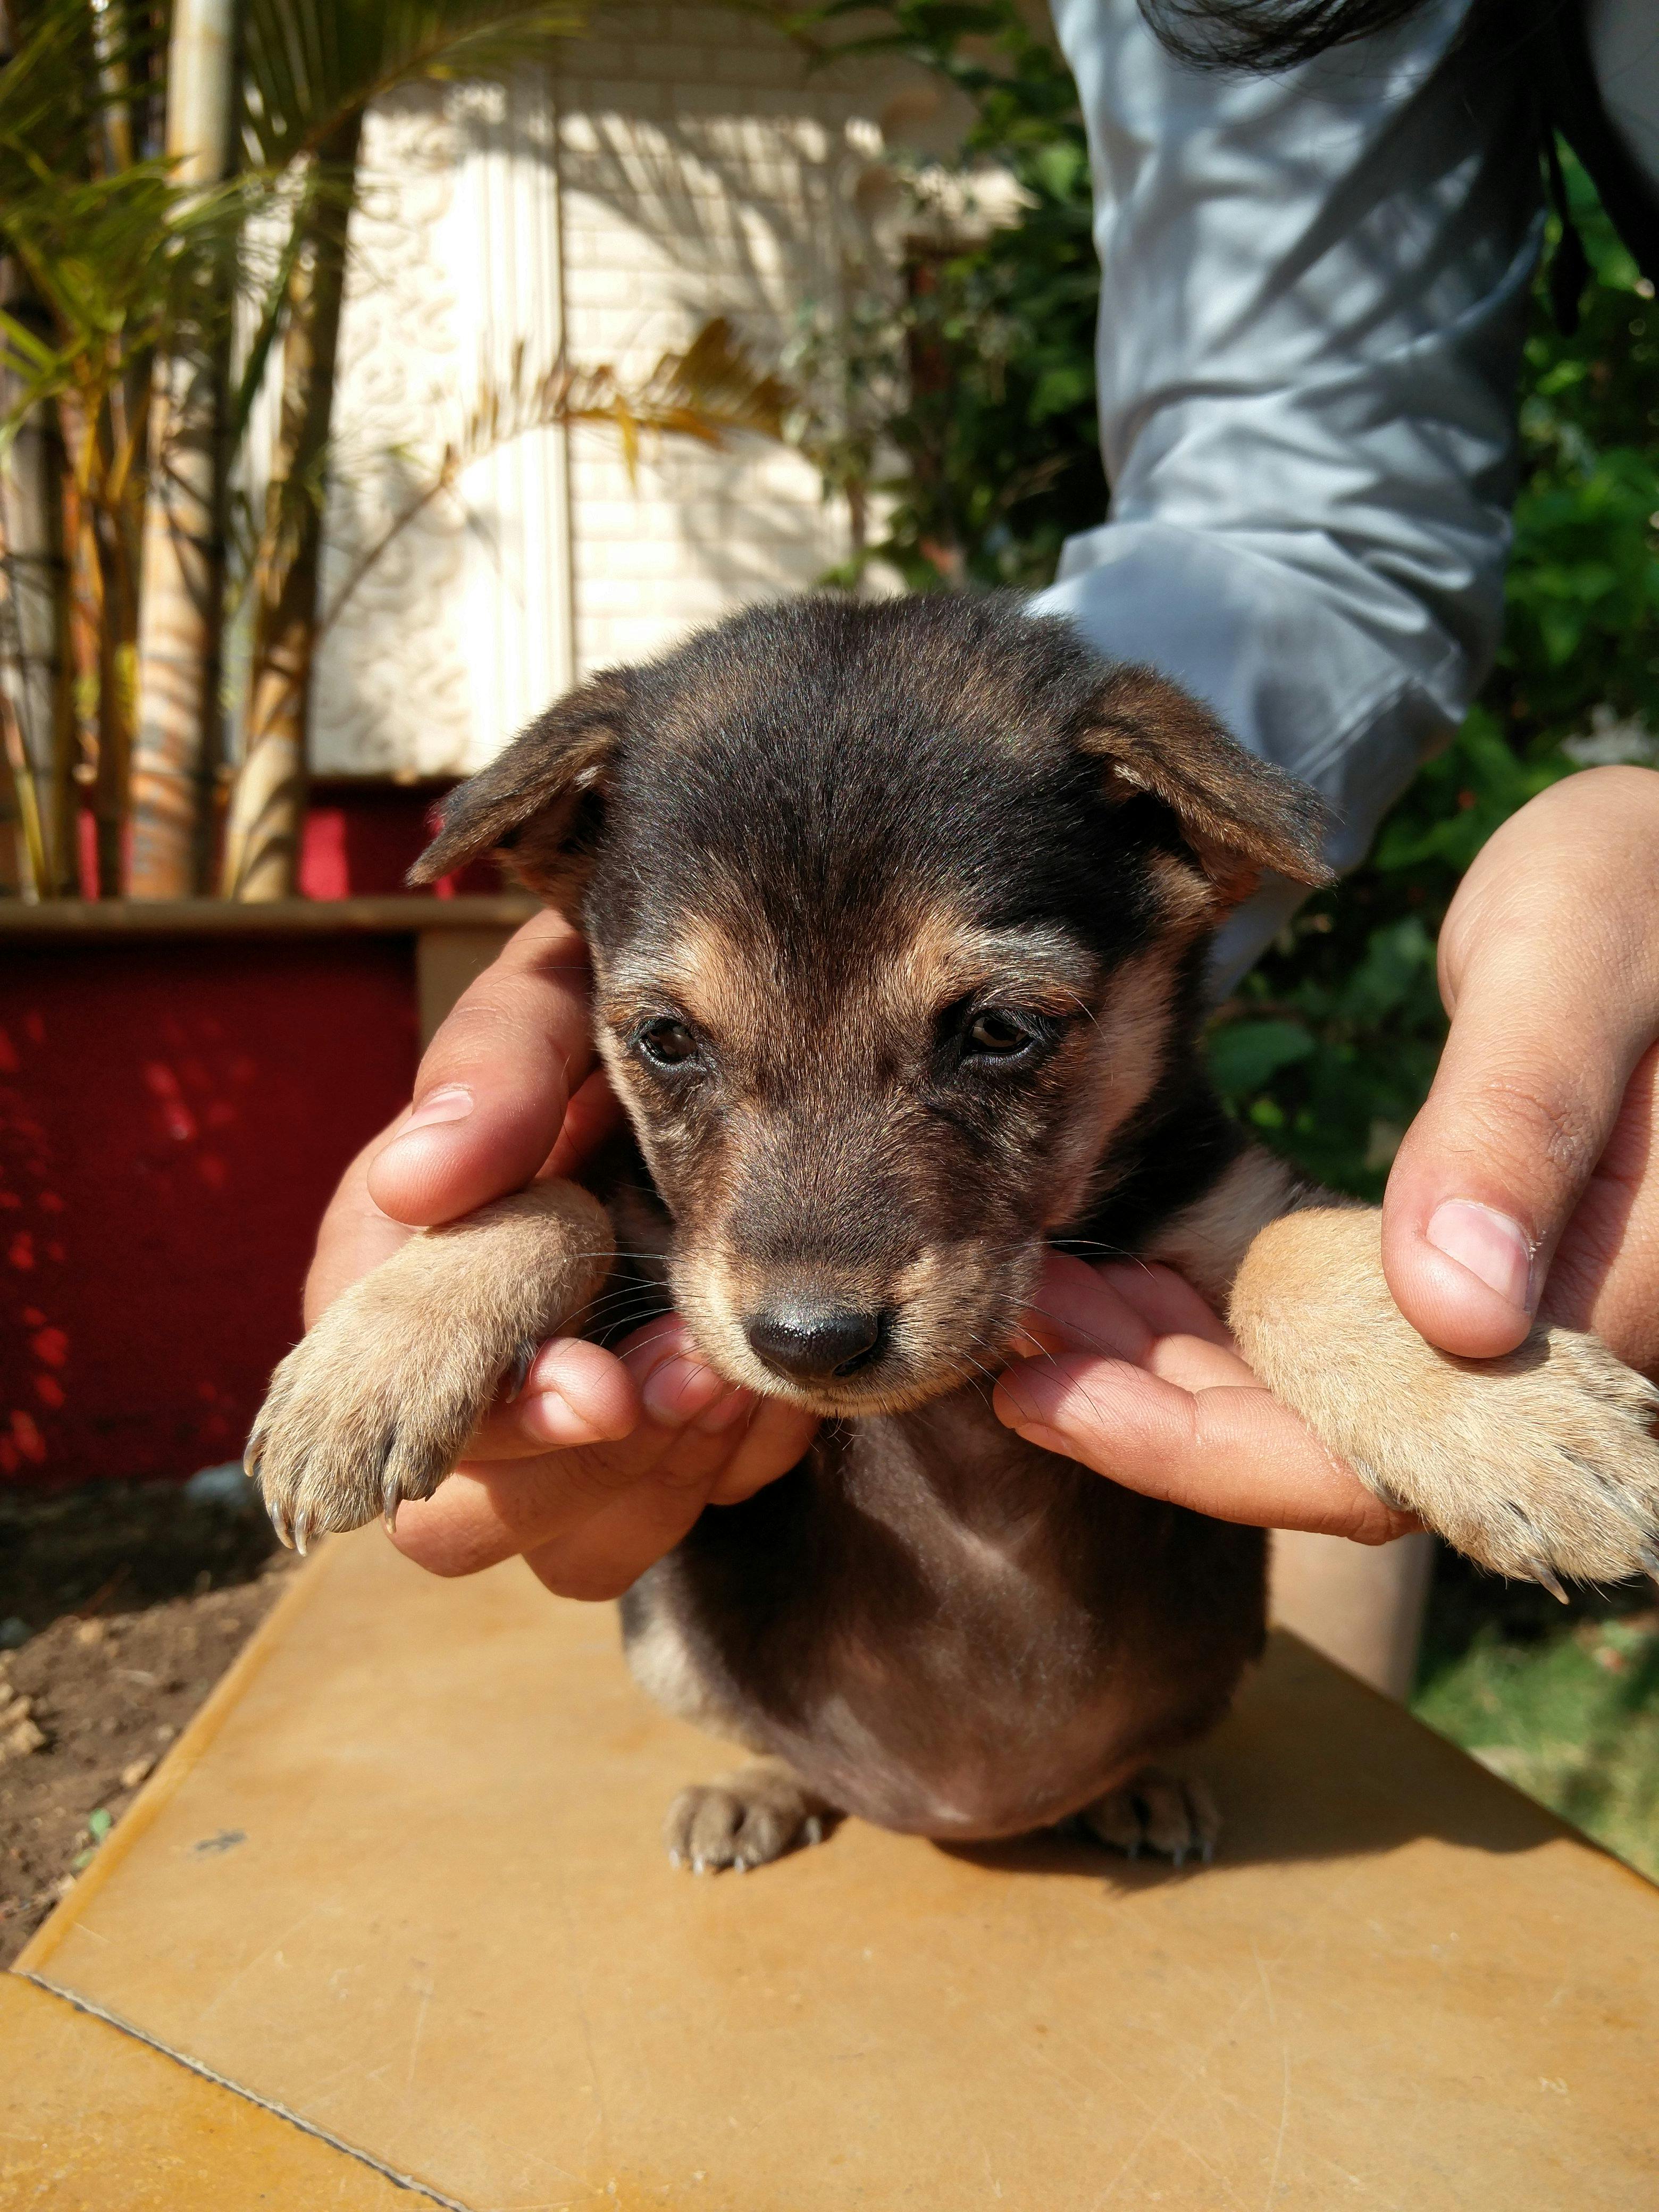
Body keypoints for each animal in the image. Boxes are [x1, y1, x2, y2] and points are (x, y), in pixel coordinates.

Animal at [250, 592, 1659, 1867]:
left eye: (997, 1031)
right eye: (665, 1041)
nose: (809, 1344)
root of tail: (954, 1809)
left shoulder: (1216, 1190)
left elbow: (1296, 1246)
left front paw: (1511, 1419)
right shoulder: (655, 1236)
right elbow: (550, 1195)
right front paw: (364, 1368)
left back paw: (1139, 1789)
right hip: (664, 1635)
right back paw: (756, 1786)